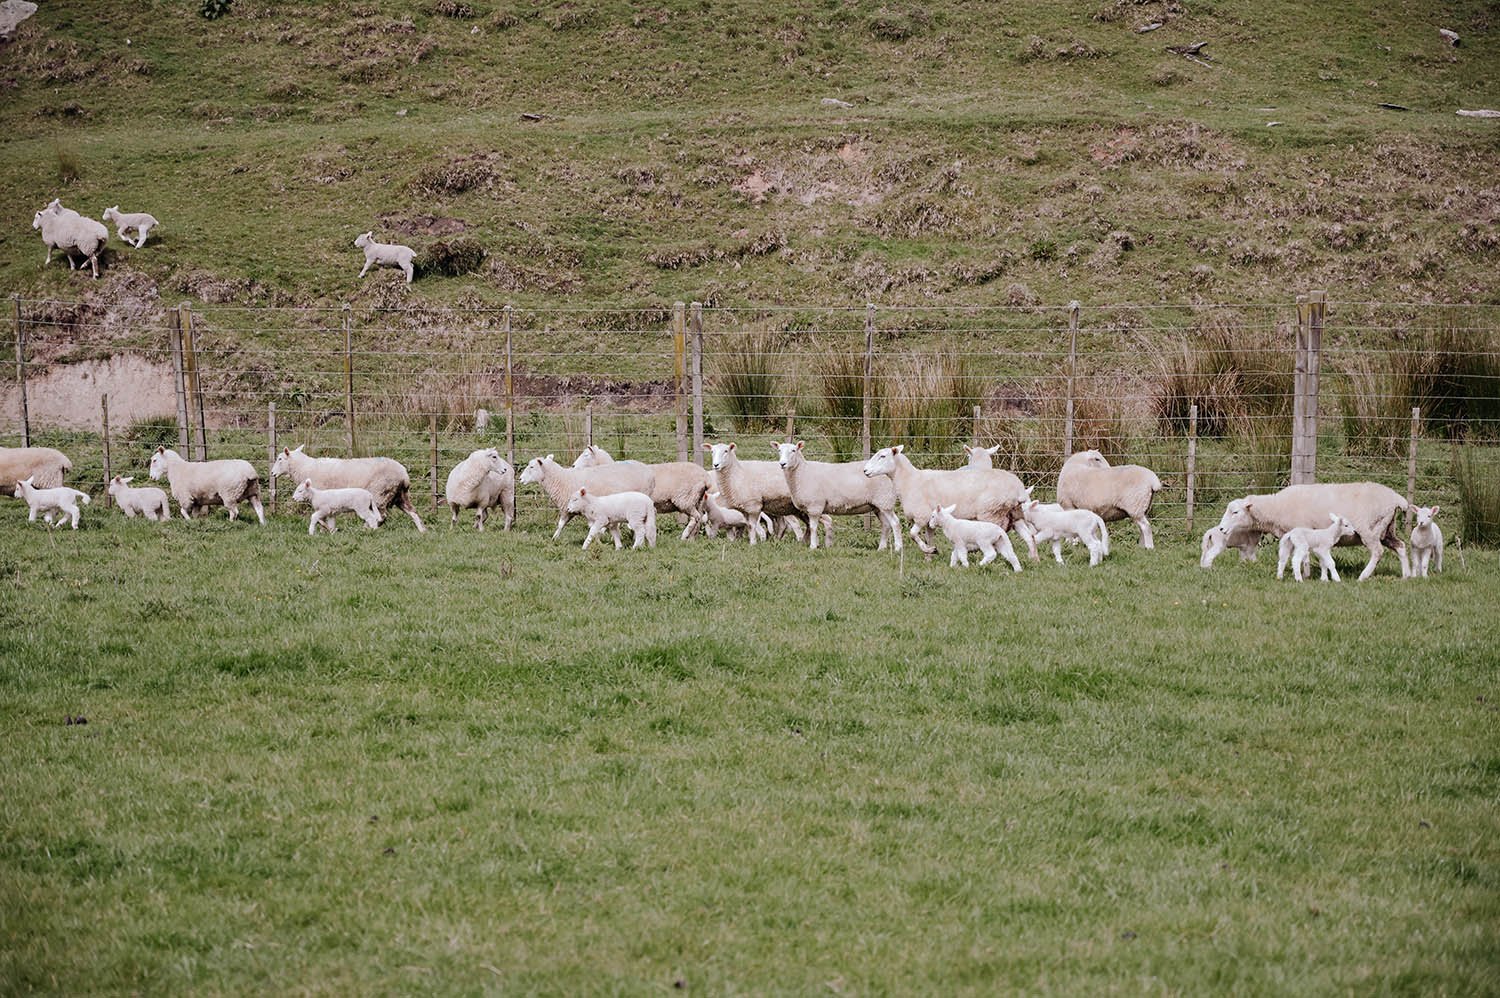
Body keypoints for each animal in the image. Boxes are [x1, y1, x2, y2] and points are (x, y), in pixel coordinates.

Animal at [271, 444, 427, 531]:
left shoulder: (322, 497)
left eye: (280, 459)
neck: (304, 468)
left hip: (380, 493)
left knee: (380, 517)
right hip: (399, 495)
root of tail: (404, 474)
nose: (272, 473)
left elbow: (320, 518)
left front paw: (325, 528)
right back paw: (422, 531)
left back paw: (365, 529)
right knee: (413, 512)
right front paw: (328, 529)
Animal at [519, 454, 655, 539]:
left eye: (532, 467)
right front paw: (554, 538)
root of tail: (649, 472)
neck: (562, 479)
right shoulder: (570, 509)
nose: (520, 479)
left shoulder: (573, 507)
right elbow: (561, 525)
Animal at [571, 444, 709, 540]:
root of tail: (704, 476)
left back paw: (684, 536)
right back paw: (692, 538)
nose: (573, 466)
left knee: (695, 517)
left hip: (685, 498)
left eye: (586, 455)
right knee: (699, 518)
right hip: (697, 499)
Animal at [860, 444, 1033, 560]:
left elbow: (912, 534)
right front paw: (929, 554)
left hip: (991, 513)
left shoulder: (921, 516)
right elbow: (929, 537)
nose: (865, 471)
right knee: (1029, 537)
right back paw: (1033, 559)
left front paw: (928, 550)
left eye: (883, 456)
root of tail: (1018, 489)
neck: (909, 480)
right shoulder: (929, 519)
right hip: (1014, 514)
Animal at [1217, 482, 1410, 581]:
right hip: (1387, 529)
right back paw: (1407, 575)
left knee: (1377, 551)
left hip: (1370, 529)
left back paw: (1363, 576)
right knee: (1401, 546)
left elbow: (1305, 557)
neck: (1276, 508)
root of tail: (1397, 499)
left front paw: (1306, 574)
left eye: (1235, 512)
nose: (1221, 528)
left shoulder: (1303, 530)